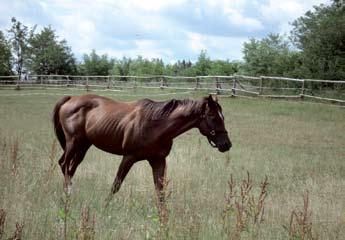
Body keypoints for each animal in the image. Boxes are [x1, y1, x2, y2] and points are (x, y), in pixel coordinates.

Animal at [52, 94, 231, 212]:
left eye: (222, 116)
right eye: (213, 117)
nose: (226, 144)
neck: (155, 124)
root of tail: (70, 99)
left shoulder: (158, 160)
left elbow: (160, 190)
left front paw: (163, 218)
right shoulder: (129, 158)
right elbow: (116, 185)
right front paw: (105, 207)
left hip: (83, 145)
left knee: (70, 168)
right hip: (73, 143)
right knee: (64, 165)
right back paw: (66, 198)